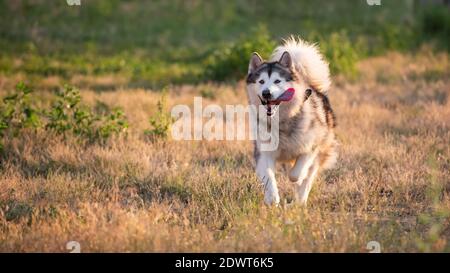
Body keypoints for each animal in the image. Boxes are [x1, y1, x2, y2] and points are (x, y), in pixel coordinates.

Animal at [246, 36, 338, 206]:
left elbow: (296, 173)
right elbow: (268, 177)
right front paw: (272, 199)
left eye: (277, 81)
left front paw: (297, 179)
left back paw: (300, 202)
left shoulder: (311, 147)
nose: (266, 93)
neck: (282, 121)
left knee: (308, 178)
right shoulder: (264, 152)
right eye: (261, 81)